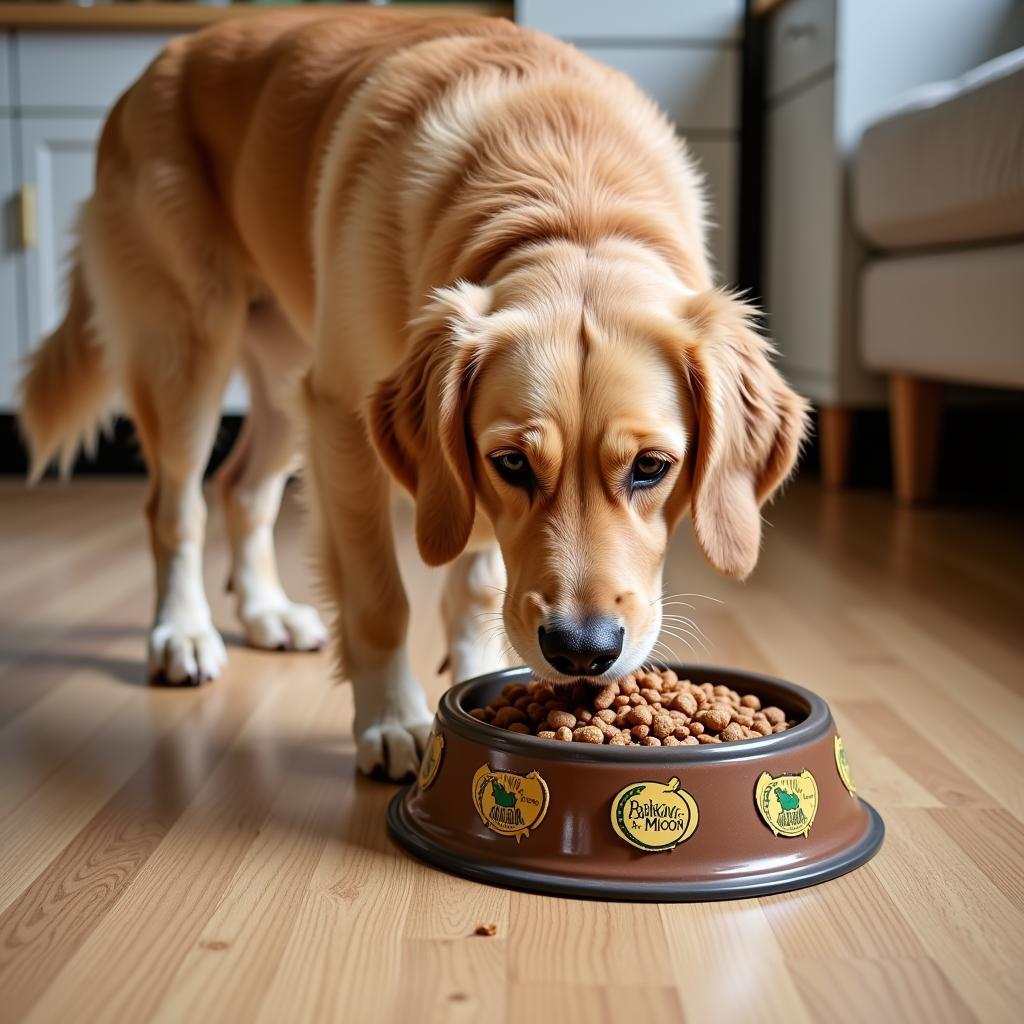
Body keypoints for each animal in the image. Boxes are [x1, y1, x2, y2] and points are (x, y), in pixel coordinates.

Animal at [18, 8, 806, 778]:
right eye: (511, 463)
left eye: (651, 468)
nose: (581, 652)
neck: (570, 198)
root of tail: (160, 60)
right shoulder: (345, 418)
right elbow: (379, 599)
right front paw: (394, 719)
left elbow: (477, 586)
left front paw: (475, 667)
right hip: (189, 347)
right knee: (174, 506)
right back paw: (182, 632)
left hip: (287, 379)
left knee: (241, 487)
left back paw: (268, 613)